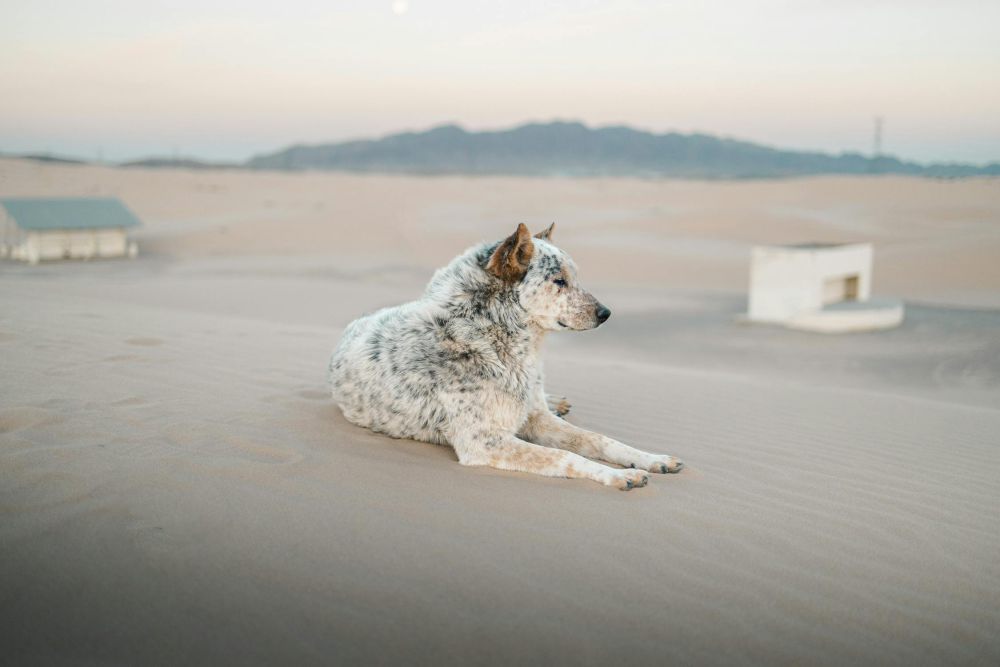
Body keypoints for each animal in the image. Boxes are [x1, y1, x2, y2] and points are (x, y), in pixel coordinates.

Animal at [326, 224, 680, 490]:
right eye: (559, 281)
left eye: (575, 278)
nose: (606, 313)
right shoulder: (484, 441)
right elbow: (566, 457)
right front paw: (617, 475)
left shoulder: (536, 418)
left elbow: (597, 439)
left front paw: (651, 458)